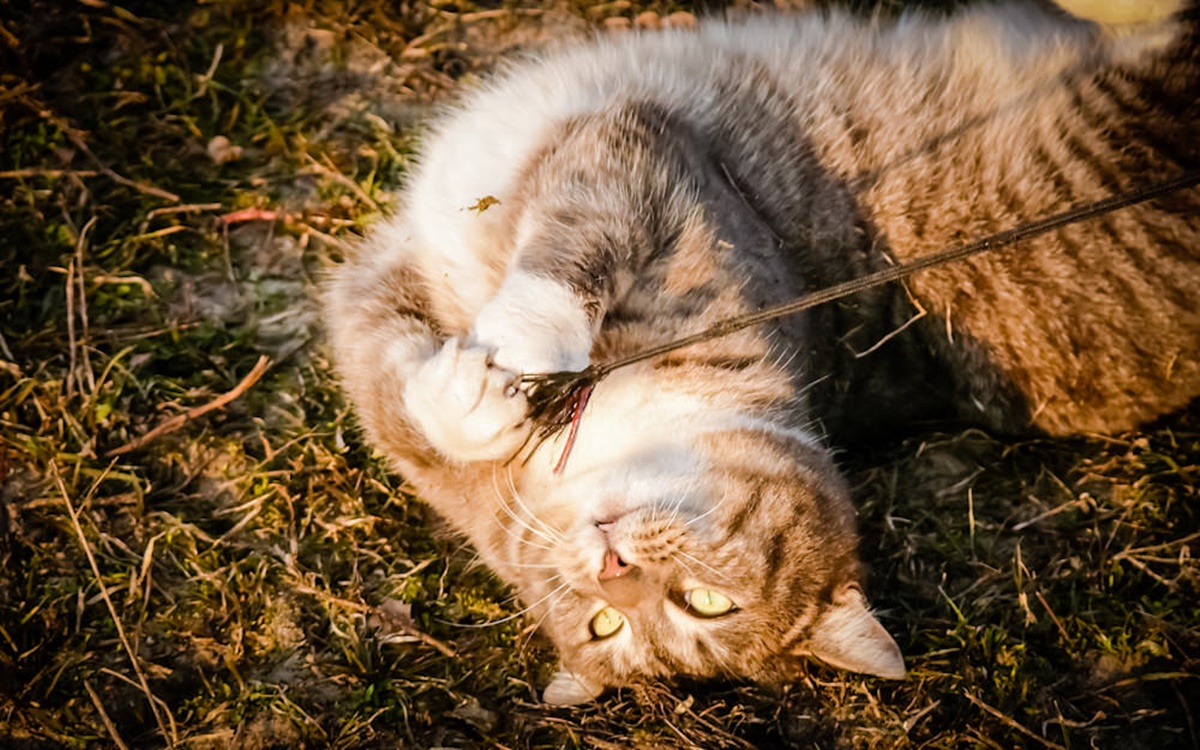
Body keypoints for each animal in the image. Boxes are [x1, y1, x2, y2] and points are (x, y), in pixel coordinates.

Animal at [319, 0, 1200, 700]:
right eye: (604, 624)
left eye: (706, 605)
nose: (612, 571)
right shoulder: (385, 289)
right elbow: (398, 384)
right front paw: (473, 402)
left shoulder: (640, 161)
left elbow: (563, 256)